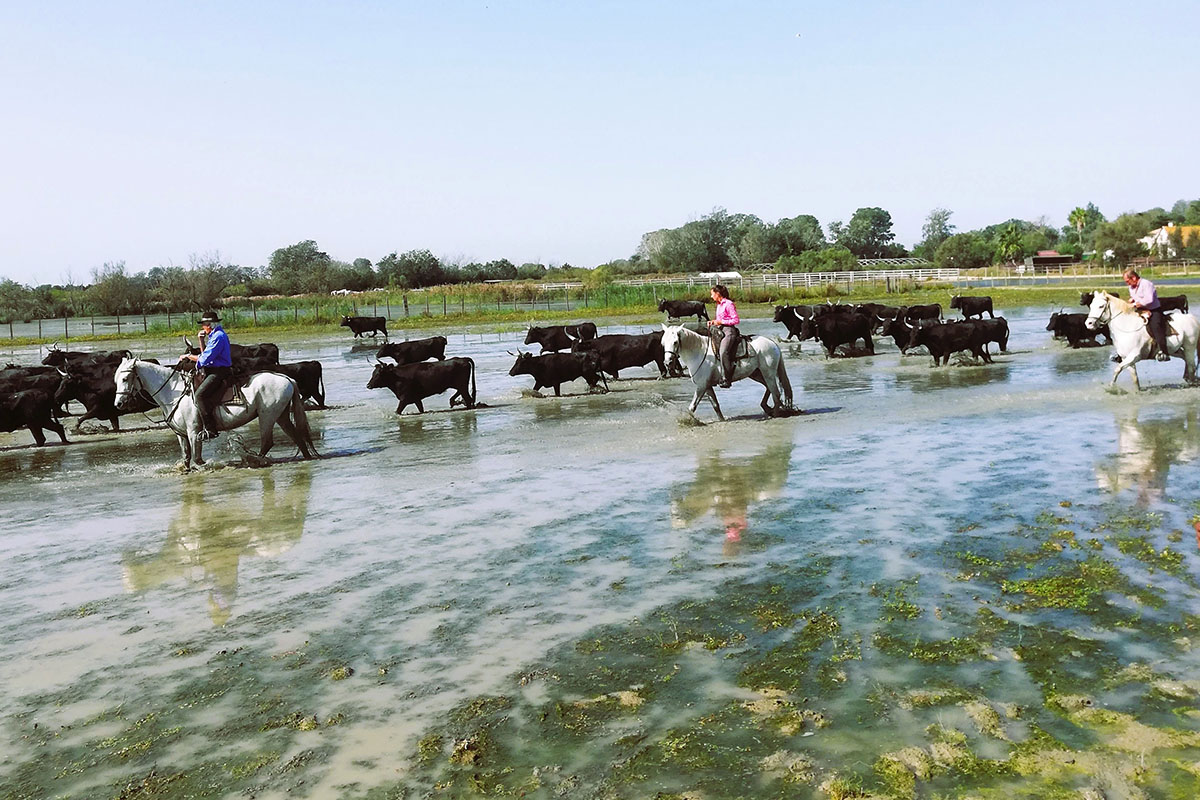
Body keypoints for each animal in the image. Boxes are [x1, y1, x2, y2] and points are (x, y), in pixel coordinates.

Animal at [112, 357, 316, 470]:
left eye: (125, 378)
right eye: (115, 379)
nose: (118, 404)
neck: (174, 392)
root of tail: (286, 378)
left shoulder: (194, 432)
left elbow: (197, 458)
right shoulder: (182, 434)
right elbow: (186, 458)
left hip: (267, 416)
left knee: (268, 442)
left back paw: (253, 460)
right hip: (280, 415)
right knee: (296, 436)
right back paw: (306, 457)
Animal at [662, 326, 792, 424]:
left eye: (675, 342)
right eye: (663, 343)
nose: (668, 362)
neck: (699, 352)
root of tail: (772, 343)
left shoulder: (701, 386)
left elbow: (693, 406)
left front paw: (687, 420)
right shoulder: (706, 386)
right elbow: (715, 405)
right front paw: (722, 420)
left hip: (768, 374)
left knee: (776, 393)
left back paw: (775, 414)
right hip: (757, 374)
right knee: (769, 388)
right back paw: (767, 407)